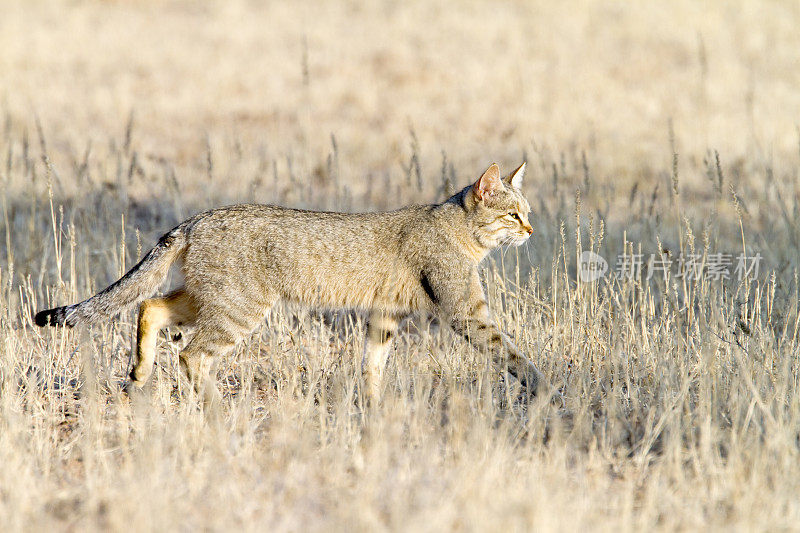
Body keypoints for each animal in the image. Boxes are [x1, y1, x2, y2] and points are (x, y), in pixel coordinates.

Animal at [34, 162, 552, 412]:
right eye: (513, 214)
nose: (531, 230)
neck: (459, 229)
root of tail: (195, 218)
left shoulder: (385, 314)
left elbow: (373, 363)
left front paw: (374, 406)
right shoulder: (465, 310)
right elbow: (512, 352)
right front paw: (547, 389)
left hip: (209, 299)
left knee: (151, 307)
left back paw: (140, 372)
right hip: (238, 310)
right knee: (190, 353)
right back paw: (218, 407)